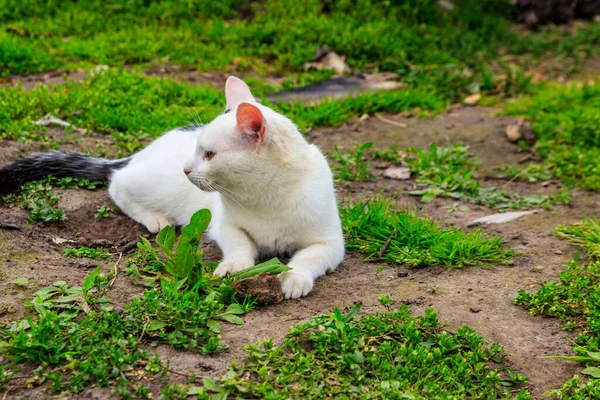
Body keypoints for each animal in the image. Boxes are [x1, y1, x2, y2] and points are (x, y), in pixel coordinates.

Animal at [0, 78, 344, 298]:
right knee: (117, 183)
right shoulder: (224, 225)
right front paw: (234, 265)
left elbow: (308, 259)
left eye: (209, 154)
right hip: (150, 183)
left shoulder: (331, 243)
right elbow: (240, 244)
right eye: (197, 149)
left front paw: (294, 277)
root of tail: (141, 152)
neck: (265, 196)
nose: (186, 168)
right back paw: (155, 218)